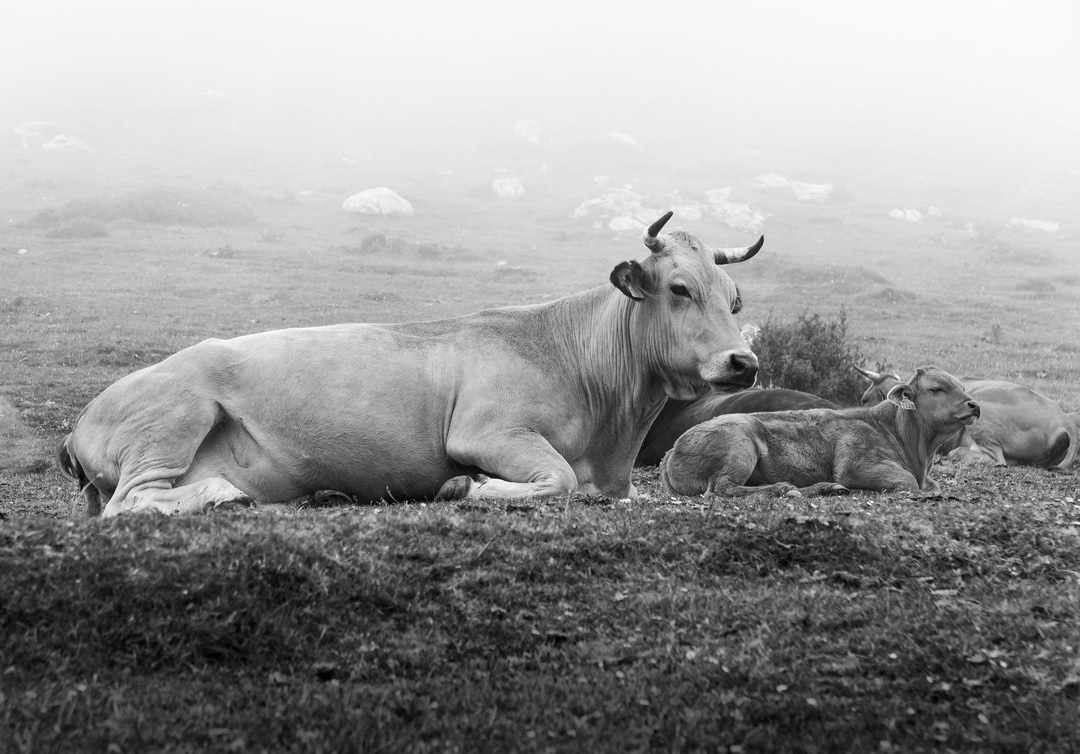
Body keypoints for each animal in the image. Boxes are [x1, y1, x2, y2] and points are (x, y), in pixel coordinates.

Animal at [57, 212, 763, 517]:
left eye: (734, 299)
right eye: (680, 288)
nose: (744, 361)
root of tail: (84, 417)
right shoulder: (485, 433)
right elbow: (557, 479)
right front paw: (465, 488)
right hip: (175, 413)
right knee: (131, 501)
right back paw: (226, 494)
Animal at [660, 367, 980, 498]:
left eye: (963, 387)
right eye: (937, 389)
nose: (974, 405)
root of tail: (673, 449)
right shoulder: (855, 465)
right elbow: (907, 483)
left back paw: (820, 488)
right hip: (740, 444)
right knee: (723, 488)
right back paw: (786, 489)